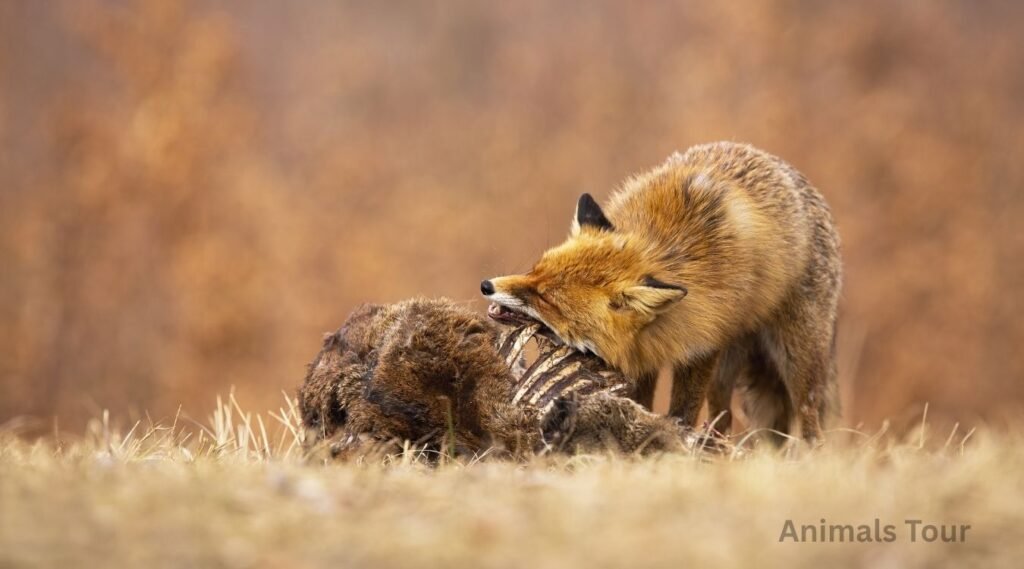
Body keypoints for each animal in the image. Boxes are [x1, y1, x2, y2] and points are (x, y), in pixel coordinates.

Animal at [482, 142, 842, 442]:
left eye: (547, 298)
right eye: (534, 269)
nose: (486, 285)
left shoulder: (701, 346)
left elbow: (683, 410)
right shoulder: (641, 355)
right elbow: (640, 400)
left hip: (795, 358)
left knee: (808, 416)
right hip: (727, 373)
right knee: (723, 416)